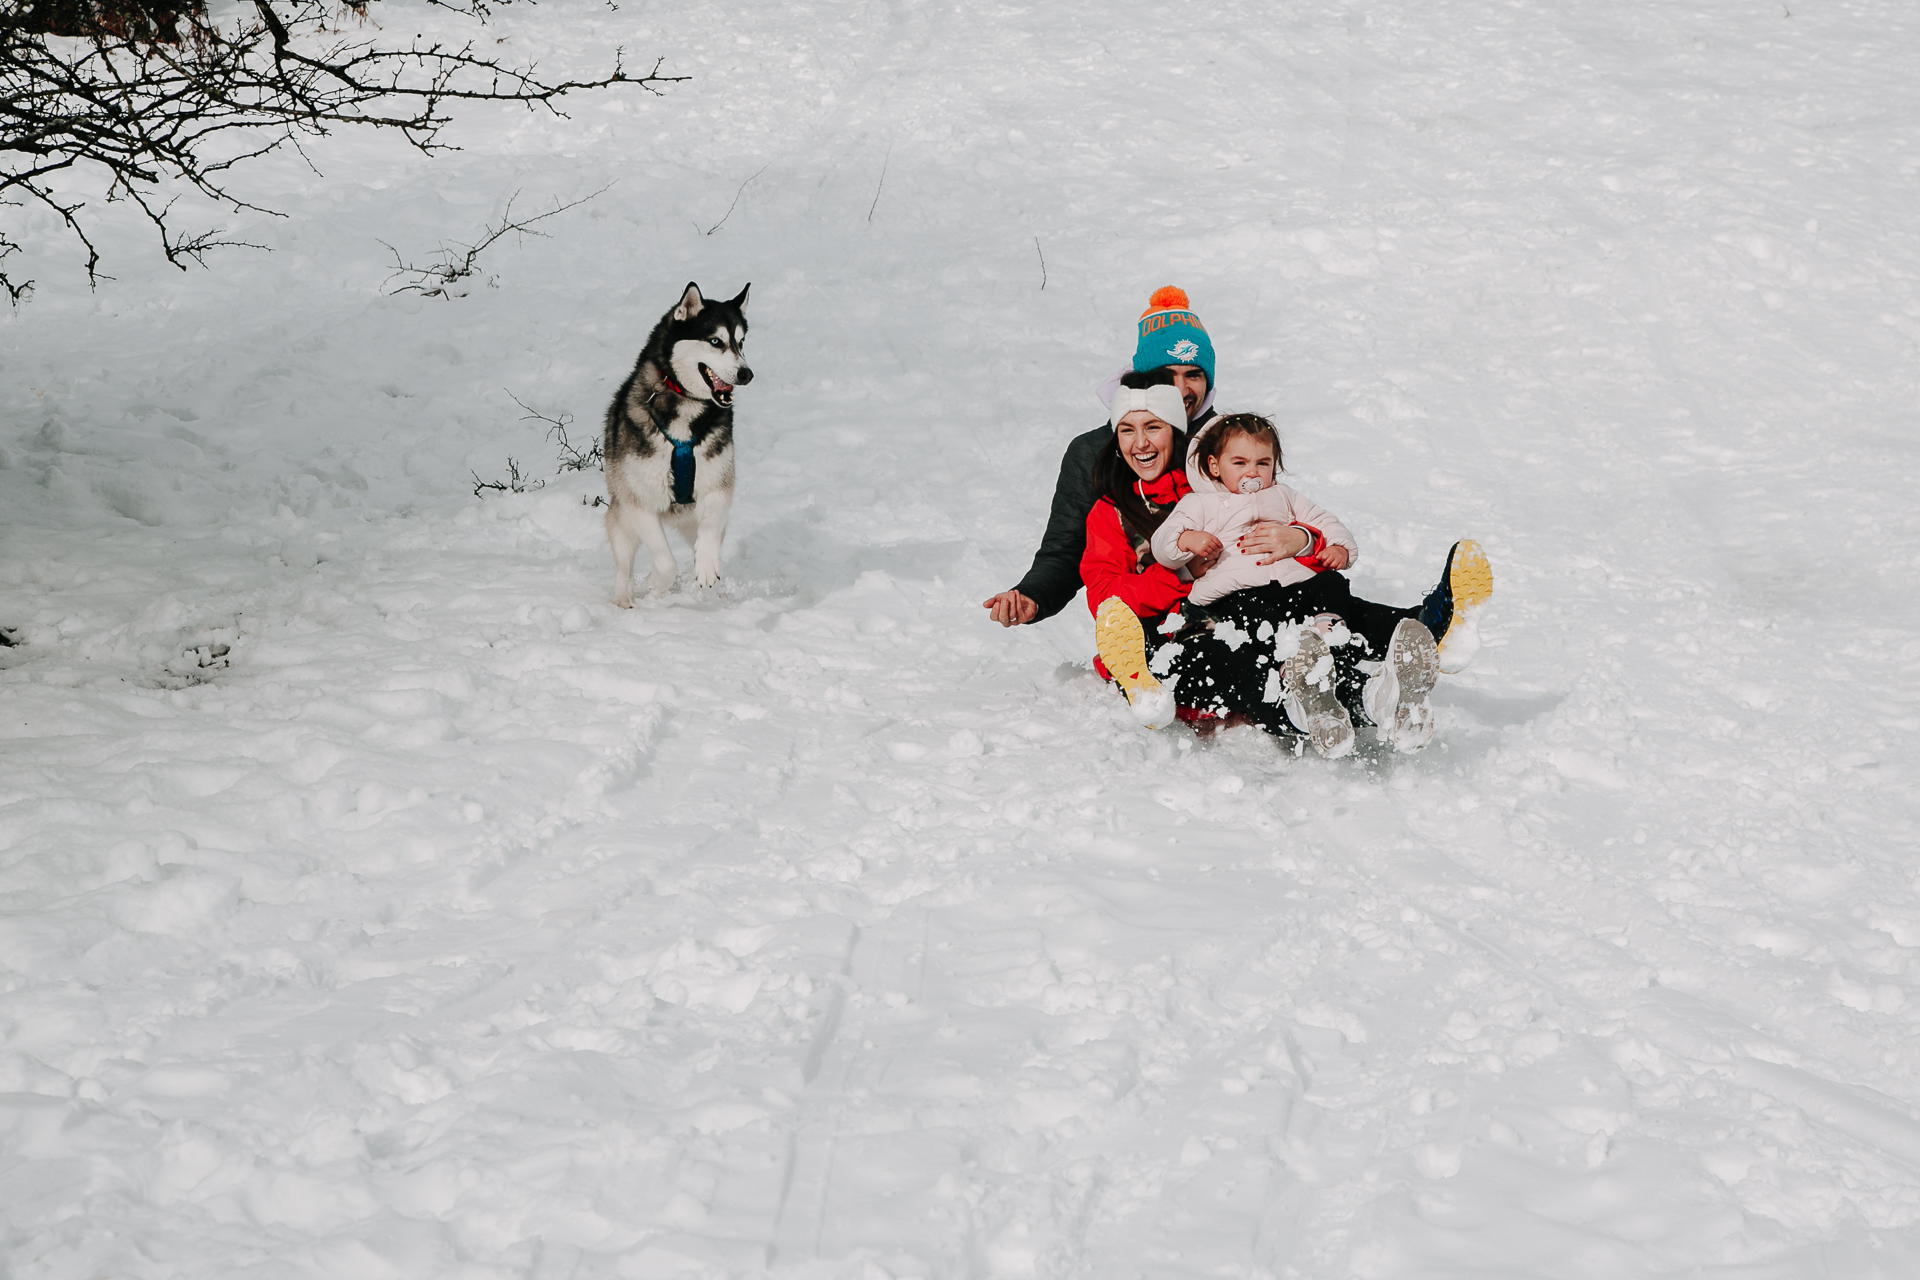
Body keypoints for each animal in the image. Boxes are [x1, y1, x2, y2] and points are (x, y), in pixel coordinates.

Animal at [602, 282, 752, 602]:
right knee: (624, 563)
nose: (746, 373)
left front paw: (706, 565)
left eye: (741, 342)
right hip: (621, 515)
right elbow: (665, 560)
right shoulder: (639, 501)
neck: (686, 404)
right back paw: (624, 598)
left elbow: (710, 528)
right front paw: (657, 583)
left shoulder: (717, 483)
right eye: (715, 341)